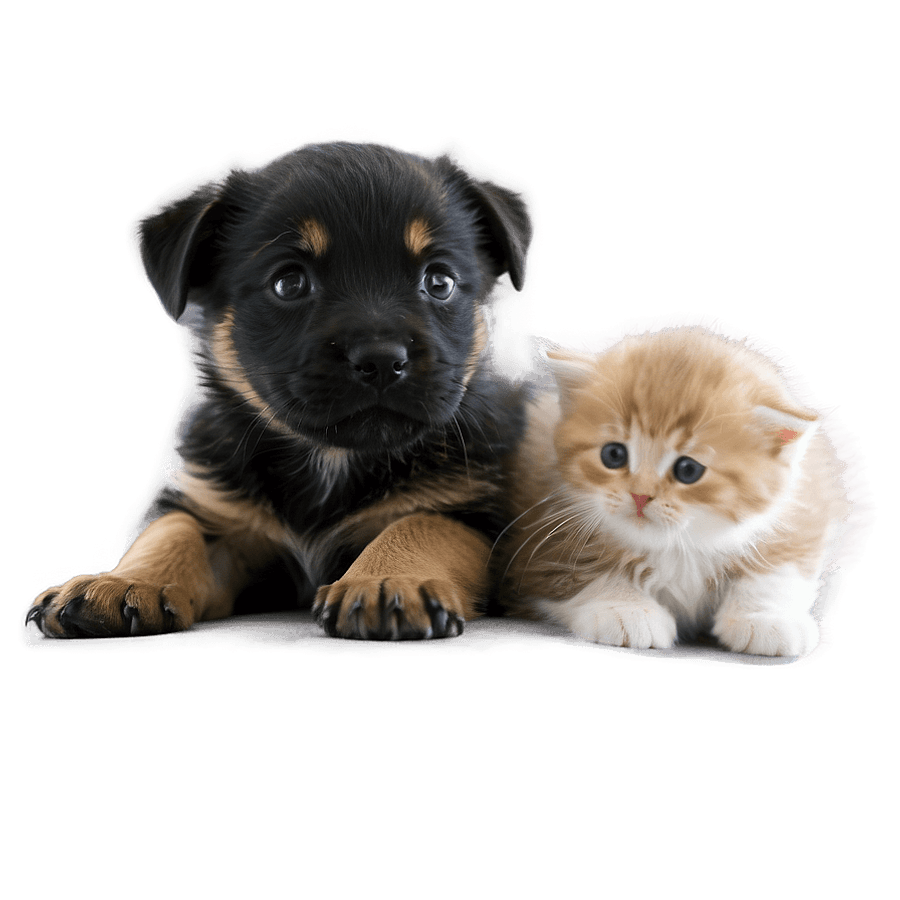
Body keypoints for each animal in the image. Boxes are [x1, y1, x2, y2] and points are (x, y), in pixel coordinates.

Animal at [26, 138, 534, 641]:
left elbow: (422, 522)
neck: (331, 460)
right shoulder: (212, 508)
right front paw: (124, 582)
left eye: (440, 281)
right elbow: (171, 528)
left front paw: (387, 578)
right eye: (288, 283)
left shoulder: (473, 508)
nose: (381, 360)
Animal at [498, 317, 874, 658]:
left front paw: (765, 618)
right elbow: (583, 573)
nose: (639, 496)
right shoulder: (540, 529)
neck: (679, 545)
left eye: (688, 470)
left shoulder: (804, 509)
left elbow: (780, 571)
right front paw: (625, 608)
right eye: (614, 454)